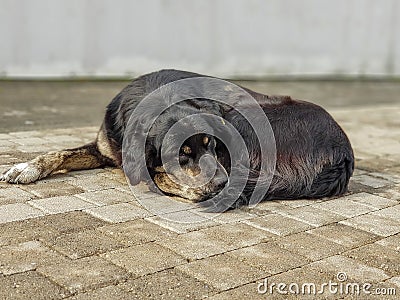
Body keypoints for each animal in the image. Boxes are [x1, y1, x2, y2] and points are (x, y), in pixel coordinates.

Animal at [0, 69, 354, 210]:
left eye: (213, 145)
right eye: (181, 153)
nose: (220, 184)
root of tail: (344, 152)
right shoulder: (105, 147)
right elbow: (58, 152)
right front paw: (25, 167)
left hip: (245, 115)